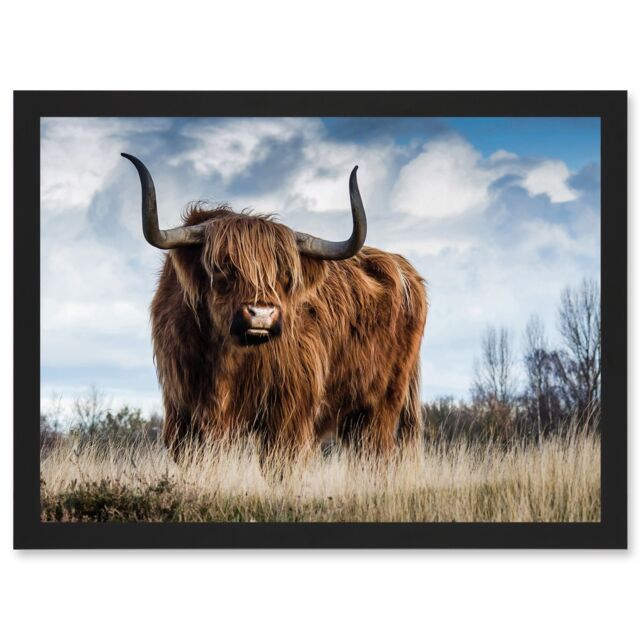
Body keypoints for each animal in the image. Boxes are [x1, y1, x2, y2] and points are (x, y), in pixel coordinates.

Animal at [122, 153, 428, 457]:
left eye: (285, 274)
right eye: (222, 268)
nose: (261, 314)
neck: (225, 360)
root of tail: (404, 268)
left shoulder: (289, 414)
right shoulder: (182, 413)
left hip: (381, 407)